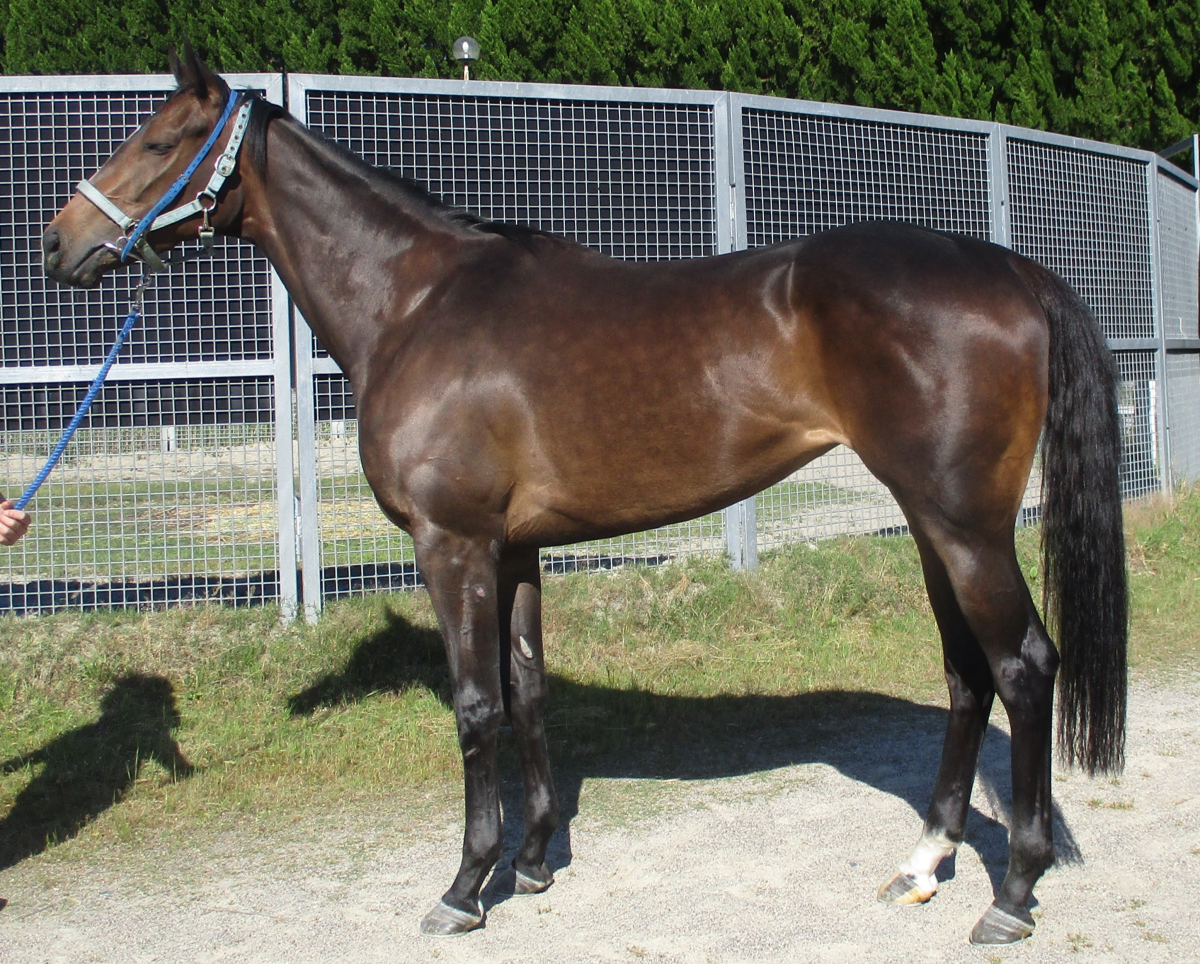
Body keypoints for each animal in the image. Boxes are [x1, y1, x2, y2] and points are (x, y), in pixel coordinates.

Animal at [41, 49, 1127, 945]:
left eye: (161, 140)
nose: (59, 243)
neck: (417, 302)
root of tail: (1006, 267)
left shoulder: (453, 544)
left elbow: (476, 704)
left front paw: (465, 885)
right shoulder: (514, 549)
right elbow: (527, 691)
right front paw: (530, 862)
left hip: (965, 526)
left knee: (1024, 666)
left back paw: (1012, 895)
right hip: (933, 522)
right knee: (967, 674)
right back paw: (925, 863)